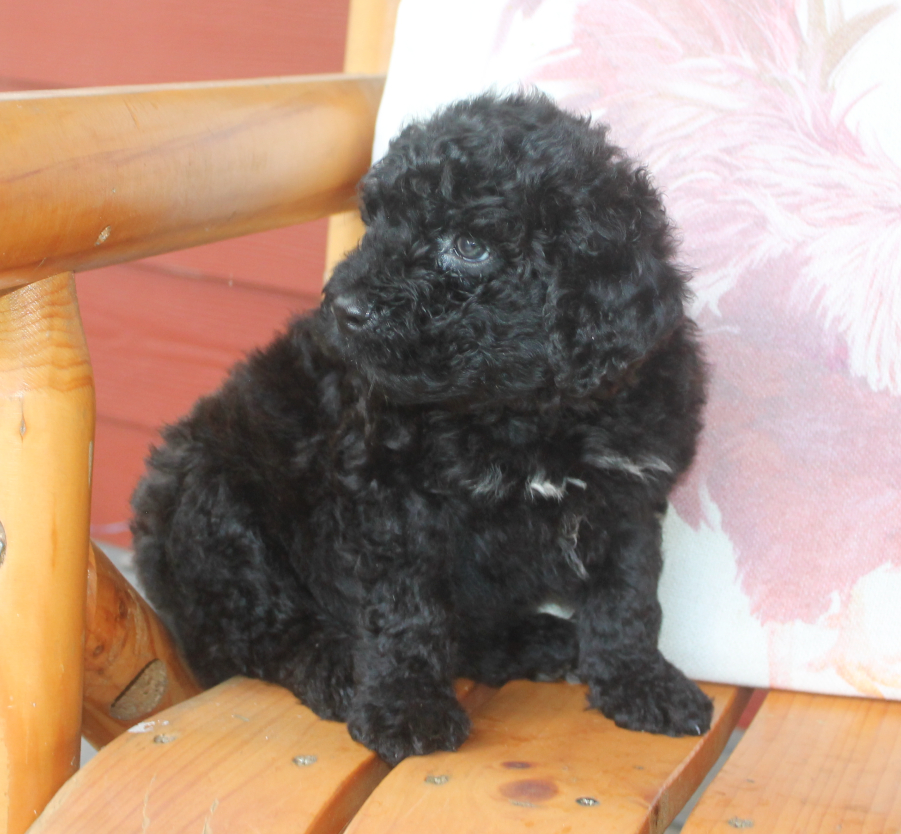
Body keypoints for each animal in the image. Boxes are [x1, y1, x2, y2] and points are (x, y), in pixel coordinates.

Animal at [132, 91, 712, 760]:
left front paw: (640, 680)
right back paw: (338, 666)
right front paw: (405, 706)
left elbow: (628, 596)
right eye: (378, 222)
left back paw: (531, 640)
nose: (345, 308)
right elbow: (407, 610)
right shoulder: (392, 498)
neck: (522, 412)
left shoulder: (627, 494)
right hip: (213, 509)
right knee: (265, 632)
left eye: (469, 246)